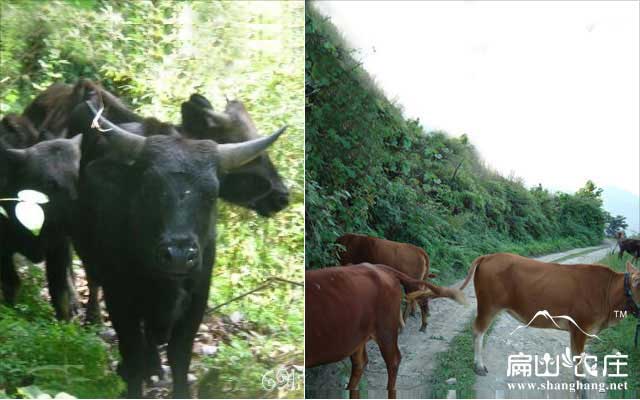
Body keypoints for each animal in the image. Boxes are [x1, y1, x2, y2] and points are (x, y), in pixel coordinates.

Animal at [0, 134, 82, 318]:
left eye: (79, 178)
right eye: (49, 184)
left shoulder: (59, 247)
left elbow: (59, 291)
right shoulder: (3, 250)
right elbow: (11, 283)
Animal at [67, 100, 284, 396]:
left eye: (212, 194)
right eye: (148, 188)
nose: (179, 256)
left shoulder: (197, 296)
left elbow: (180, 356)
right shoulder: (120, 294)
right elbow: (132, 352)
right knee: (93, 280)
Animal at [460, 252, 640, 380]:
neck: (608, 293)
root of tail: (489, 256)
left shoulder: (577, 331)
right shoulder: (580, 328)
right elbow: (578, 361)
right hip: (488, 306)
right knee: (478, 331)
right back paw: (479, 366)